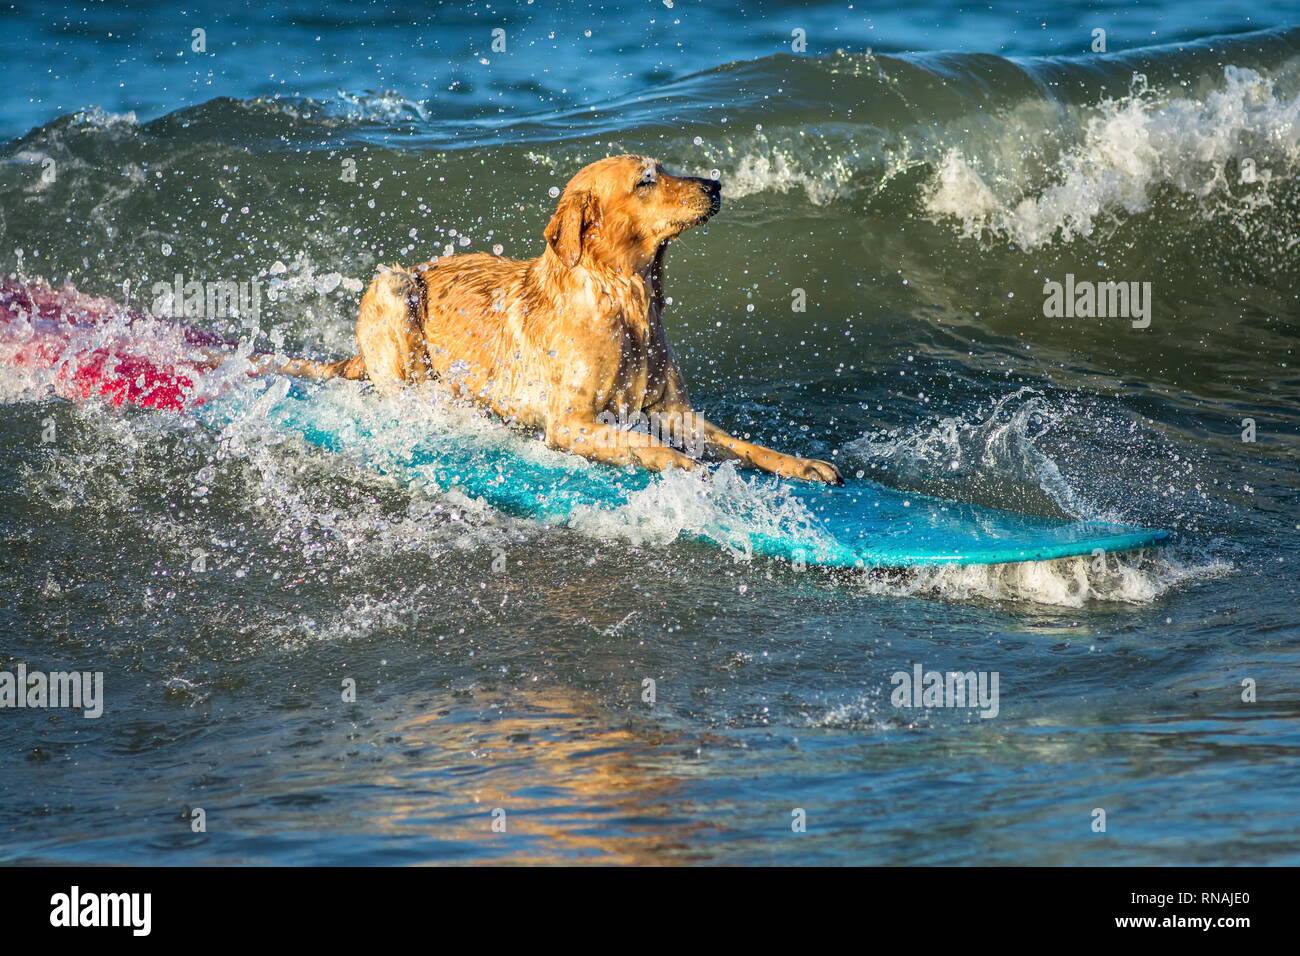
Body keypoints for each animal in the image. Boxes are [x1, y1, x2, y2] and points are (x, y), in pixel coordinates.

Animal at [310, 158, 847, 489]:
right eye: (645, 180)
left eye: (665, 169)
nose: (715, 186)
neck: (628, 299)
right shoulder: (571, 422)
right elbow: (636, 439)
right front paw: (675, 460)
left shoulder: (676, 412)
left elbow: (740, 443)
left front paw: (799, 462)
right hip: (394, 285)